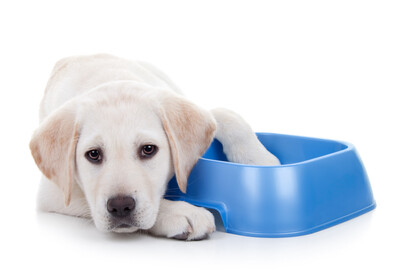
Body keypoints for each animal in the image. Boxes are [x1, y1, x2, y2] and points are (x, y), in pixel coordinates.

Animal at [28, 53, 278, 240]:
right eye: (93, 154)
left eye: (148, 150)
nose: (120, 207)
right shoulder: (54, 192)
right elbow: (89, 199)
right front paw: (180, 211)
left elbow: (224, 114)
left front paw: (262, 161)